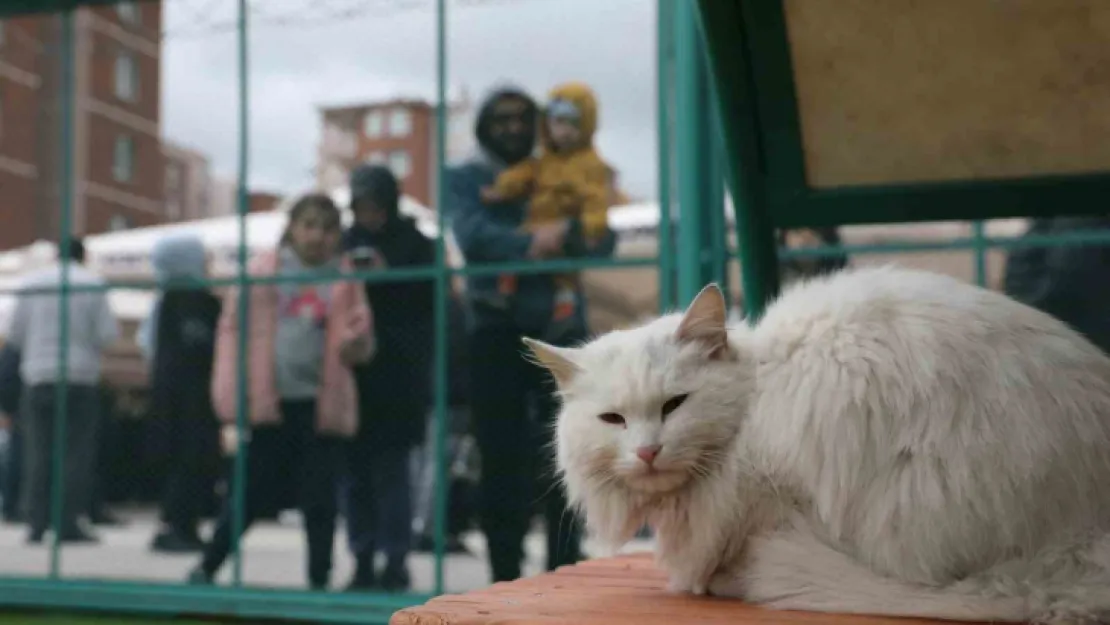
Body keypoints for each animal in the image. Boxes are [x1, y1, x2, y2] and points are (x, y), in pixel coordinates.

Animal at [521, 265, 1110, 625]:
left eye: (674, 405)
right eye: (613, 419)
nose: (648, 452)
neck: (758, 392)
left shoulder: (780, 489)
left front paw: (718, 580)